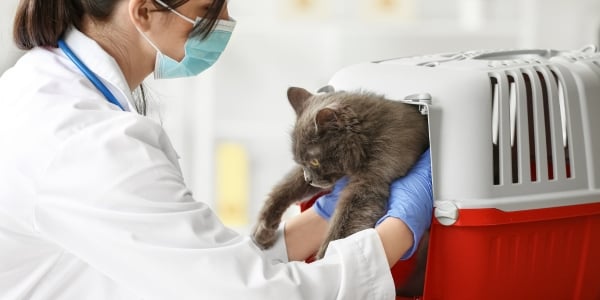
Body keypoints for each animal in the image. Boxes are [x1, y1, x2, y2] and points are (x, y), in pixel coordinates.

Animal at [253, 85, 432, 294]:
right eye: (301, 161)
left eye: (314, 161)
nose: (308, 178)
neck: (369, 134)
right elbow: (285, 188)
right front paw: (263, 229)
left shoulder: (368, 182)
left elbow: (342, 226)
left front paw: (324, 261)